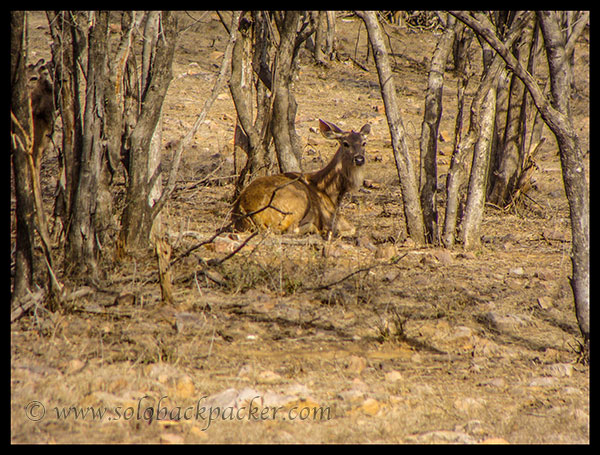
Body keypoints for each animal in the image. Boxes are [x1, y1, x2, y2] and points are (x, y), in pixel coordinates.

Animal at [233, 119, 370, 237]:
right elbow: (352, 228)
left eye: (364, 143)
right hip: (297, 202)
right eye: (345, 143)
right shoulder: (329, 216)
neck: (330, 192)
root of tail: (244, 208)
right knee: (290, 230)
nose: (359, 159)